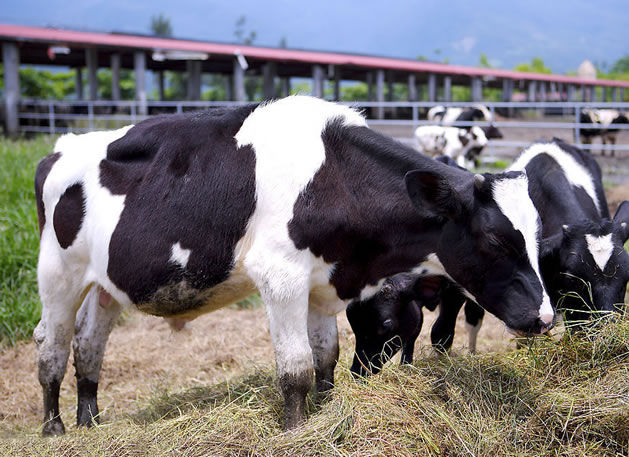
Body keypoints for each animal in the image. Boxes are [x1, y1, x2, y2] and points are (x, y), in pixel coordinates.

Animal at [35, 96, 556, 434]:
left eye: (537, 236)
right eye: (494, 238)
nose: (545, 317)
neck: (335, 177)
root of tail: (59, 148)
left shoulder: (323, 284)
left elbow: (326, 358)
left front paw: (325, 411)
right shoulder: (280, 276)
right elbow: (296, 368)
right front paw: (295, 429)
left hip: (107, 282)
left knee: (88, 342)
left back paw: (90, 421)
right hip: (57, 274)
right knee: (51, 345)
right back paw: (54, 428)